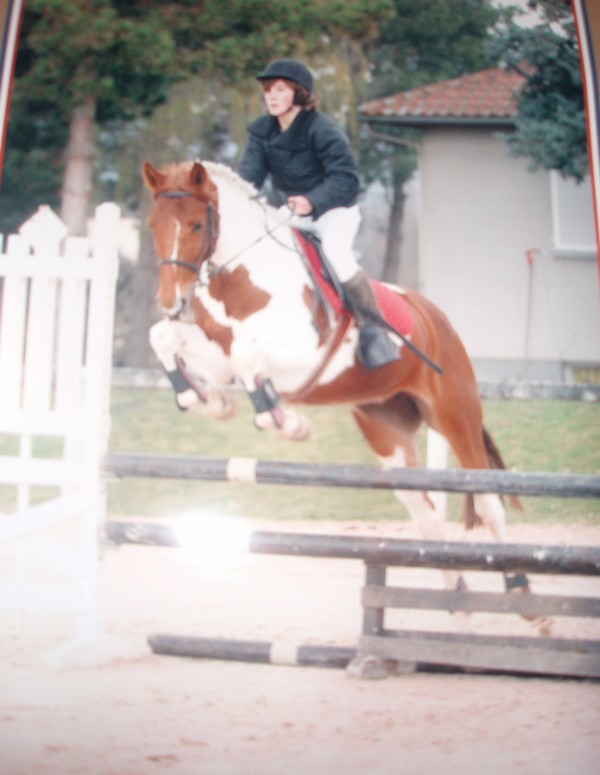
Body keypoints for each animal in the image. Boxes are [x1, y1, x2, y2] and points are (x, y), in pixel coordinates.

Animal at [141, 159, 526, 597]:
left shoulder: (302, 355)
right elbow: (165, 337)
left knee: (488, 502)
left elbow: (247, 354)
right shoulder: (217, 352)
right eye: (152, 225)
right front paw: (211, 402)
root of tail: (437, 318)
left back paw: (518, 590)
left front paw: (290, 424)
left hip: (454, 415)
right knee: (424, 512)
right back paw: (453, 592)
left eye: (195, 225)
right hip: (387, 429)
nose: (172, 302)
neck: (242, 280)